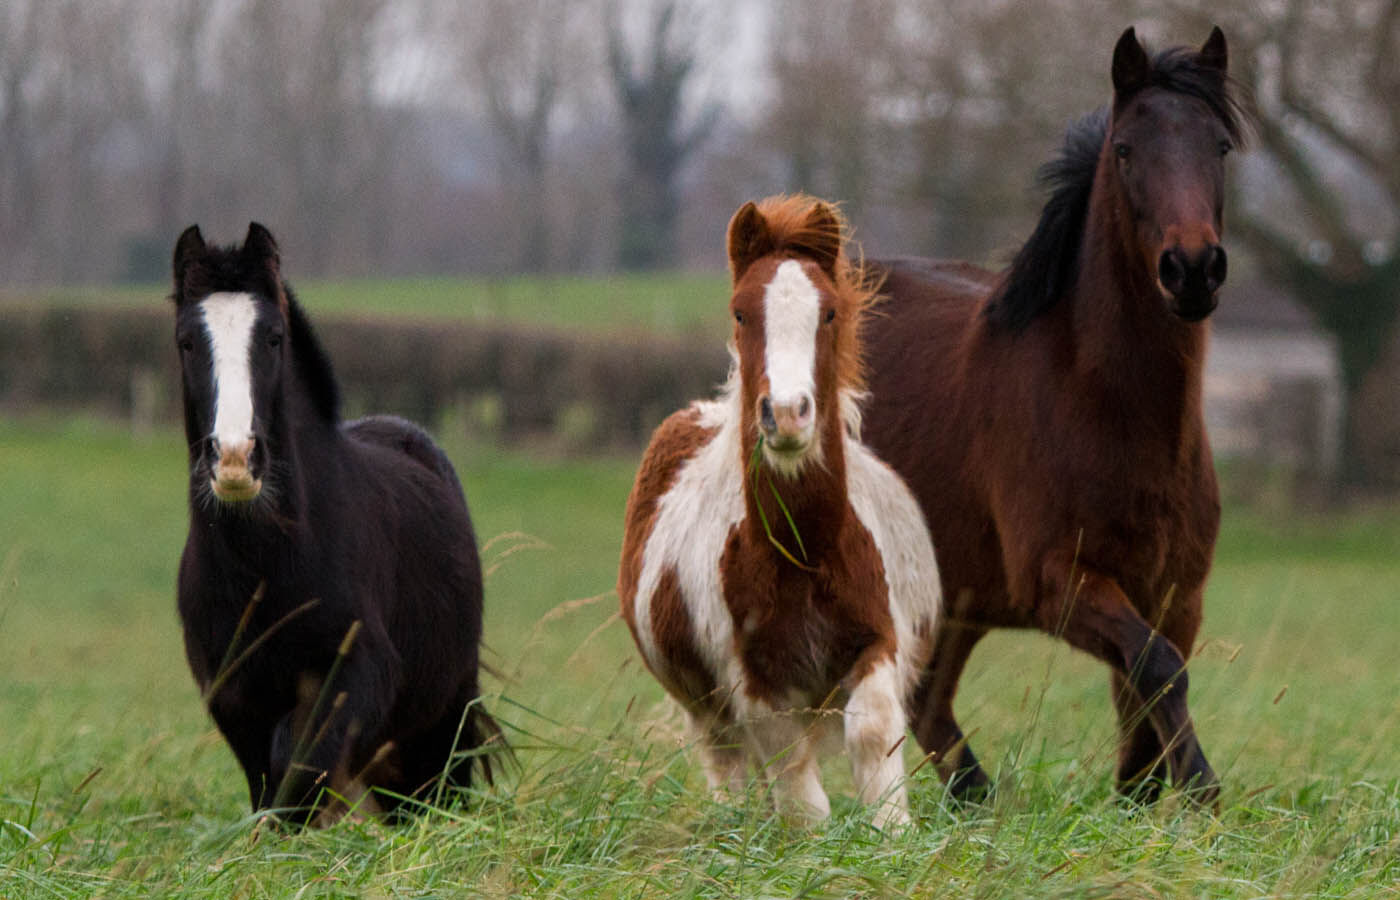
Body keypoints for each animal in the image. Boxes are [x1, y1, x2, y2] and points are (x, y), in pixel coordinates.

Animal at [170, 223, 498, 823]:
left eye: (273, 338)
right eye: (187, 341)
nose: (234, 459)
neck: (268, 566)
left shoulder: (356, 673)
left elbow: (301, 765)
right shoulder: (233, 691)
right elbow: (272, 785)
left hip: (442, 716)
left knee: (432, 793)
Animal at [616, 197, 935, 828]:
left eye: (830, 312)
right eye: (741, 313)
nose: (786, 414)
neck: (805, 553)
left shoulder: (876, 640)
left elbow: (873, 732)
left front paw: (892, 832)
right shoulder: (753, 681)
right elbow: (798, 793)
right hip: (704, 707)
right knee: (730, 768)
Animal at [862, 28, 1248, 806]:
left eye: (1219, 145)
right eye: (1125, 149)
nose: (1193, 269)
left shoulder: (1176, 593)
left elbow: (1144, 695)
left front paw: (1142, 794)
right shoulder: (1058, 583)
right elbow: (1157, 669)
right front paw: (1200, 788)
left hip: (958, 596)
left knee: (928, 700)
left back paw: (978, 801)